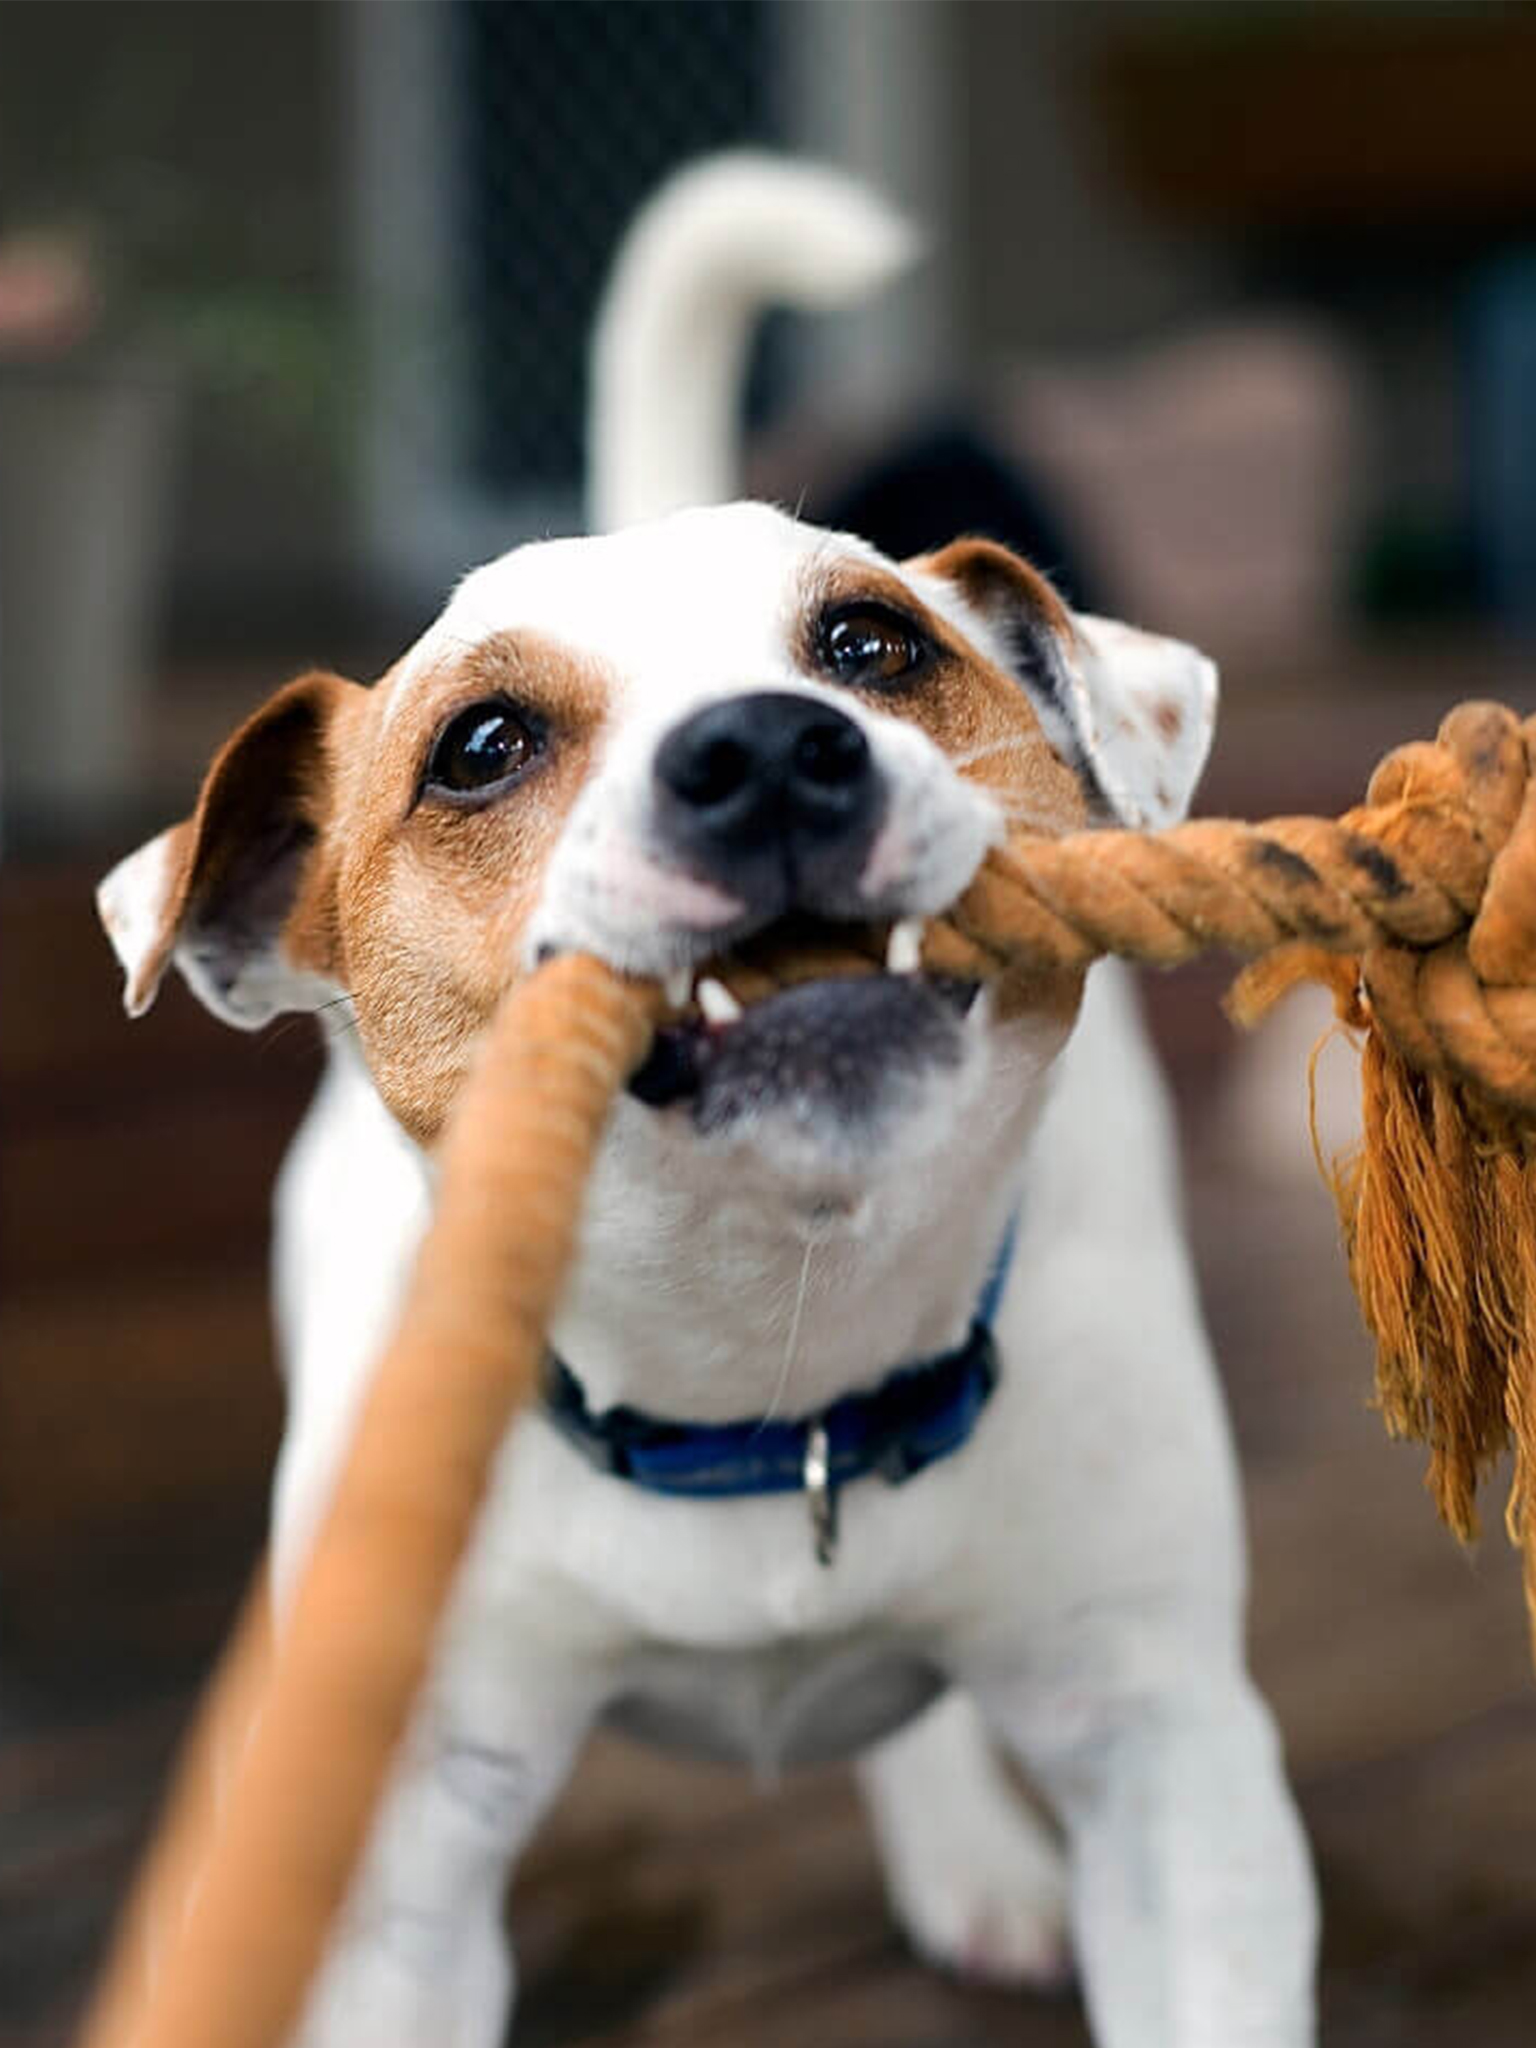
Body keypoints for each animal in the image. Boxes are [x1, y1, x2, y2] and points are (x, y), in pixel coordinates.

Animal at [99, 159, 1327, 2048]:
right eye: (481, 746)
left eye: (872, 642)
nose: (763, 751)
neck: (769, 1378)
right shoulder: (402, 1878)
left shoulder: (1173, 1765)